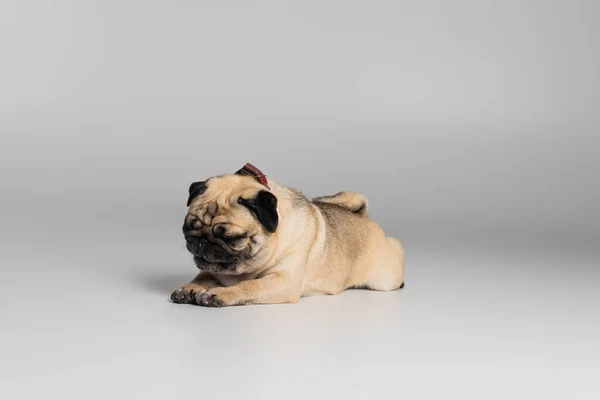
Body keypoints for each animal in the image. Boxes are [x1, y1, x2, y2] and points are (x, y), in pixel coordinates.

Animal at [170, 164, 404, 308]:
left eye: (233, 239)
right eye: (188, 228)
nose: (202, 242)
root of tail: (364, 217)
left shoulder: (282, 281)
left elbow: (250, 285)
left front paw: (219, 294)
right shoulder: (212, 271)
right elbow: (202, 276)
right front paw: (189, 288)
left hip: (385, 279)